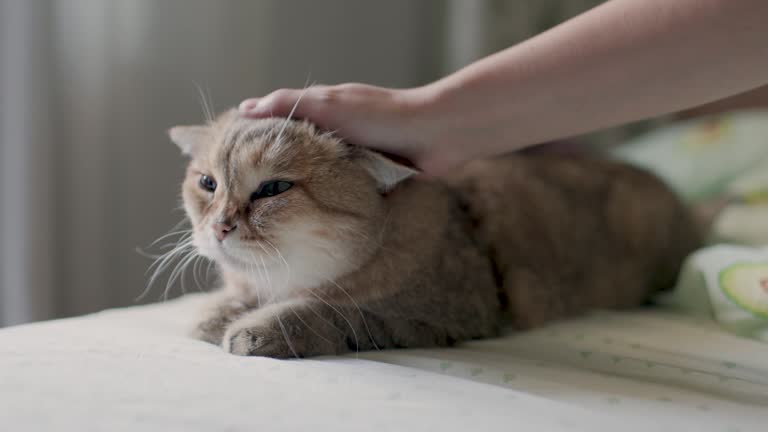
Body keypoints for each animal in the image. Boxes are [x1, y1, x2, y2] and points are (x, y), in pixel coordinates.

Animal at [168, 109, 704, 358]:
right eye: (207, 183)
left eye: (273, 188)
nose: (219, 226)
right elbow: (223, 304)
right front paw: (218, 312)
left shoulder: (423, 315)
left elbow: (330, 310)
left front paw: (259, 328)